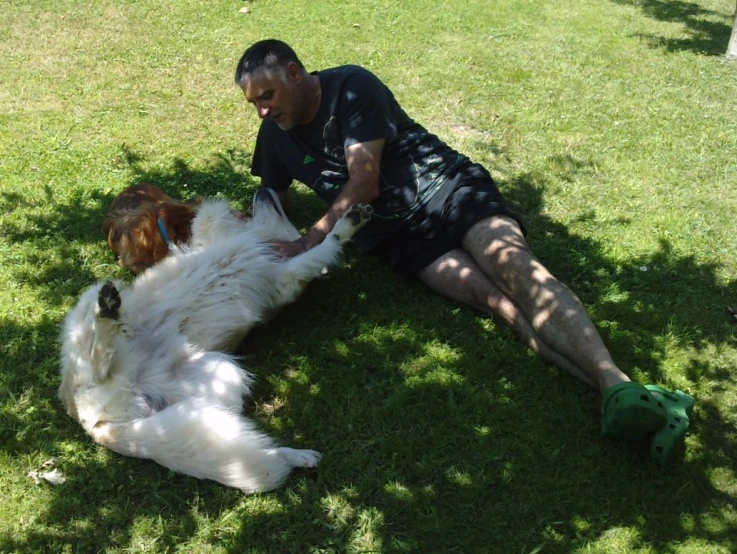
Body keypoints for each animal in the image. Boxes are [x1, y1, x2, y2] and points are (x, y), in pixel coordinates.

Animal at [60, 190, 374, 492]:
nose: (263, 187)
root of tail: (92, 424)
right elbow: (210, 218)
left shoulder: (283, 278)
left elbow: (322, 248)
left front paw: (348, 223)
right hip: (90, 302)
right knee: (98, 360)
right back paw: (109, 311)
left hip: (223, 372)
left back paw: (295, 456)